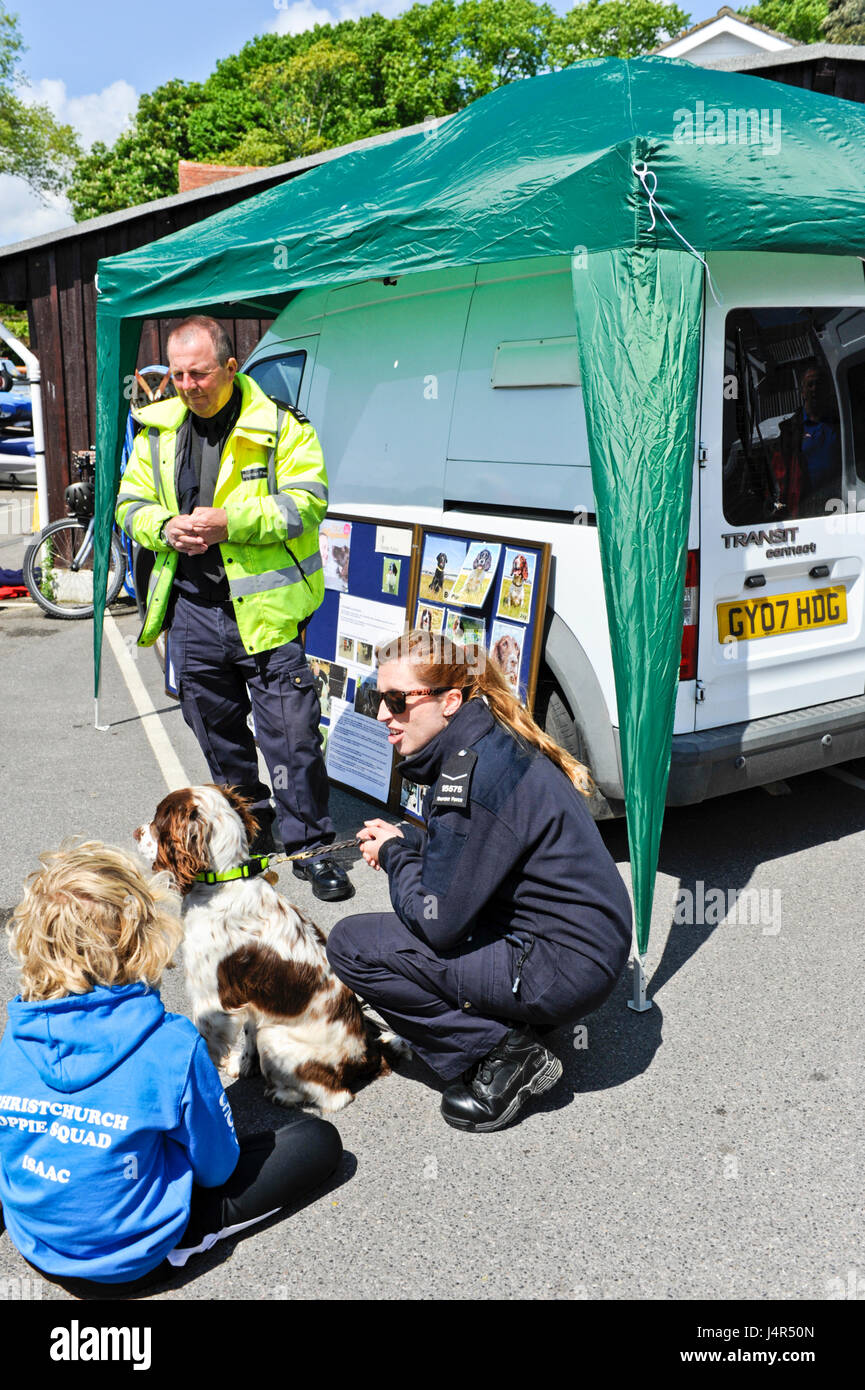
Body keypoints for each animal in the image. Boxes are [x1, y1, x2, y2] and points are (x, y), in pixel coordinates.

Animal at [136, 789, 406, 1112]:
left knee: (337, 1096)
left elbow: (206, 1045)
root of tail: (366, 1055)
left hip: (275, 1038)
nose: (136, 832)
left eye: (157, 819)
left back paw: (283, 1094)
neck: (225, 881)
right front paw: (242, 1064)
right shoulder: (250, 998)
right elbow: (248, 1031)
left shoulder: (210, 1000)